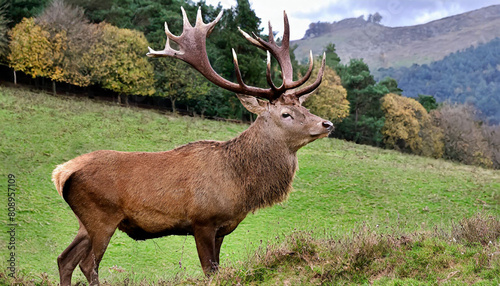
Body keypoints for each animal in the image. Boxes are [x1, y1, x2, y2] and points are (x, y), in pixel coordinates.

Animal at [51, 7, 332, 286]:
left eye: (304, 107)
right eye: (286, 114)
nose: (327, 123)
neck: (239, 185)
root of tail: (62, 172)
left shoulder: (222, 228)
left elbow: (218, 268)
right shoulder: (202, 221)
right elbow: (209, 270)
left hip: (84, 222)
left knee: (64, 259)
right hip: (102, 216)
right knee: (88, 264)